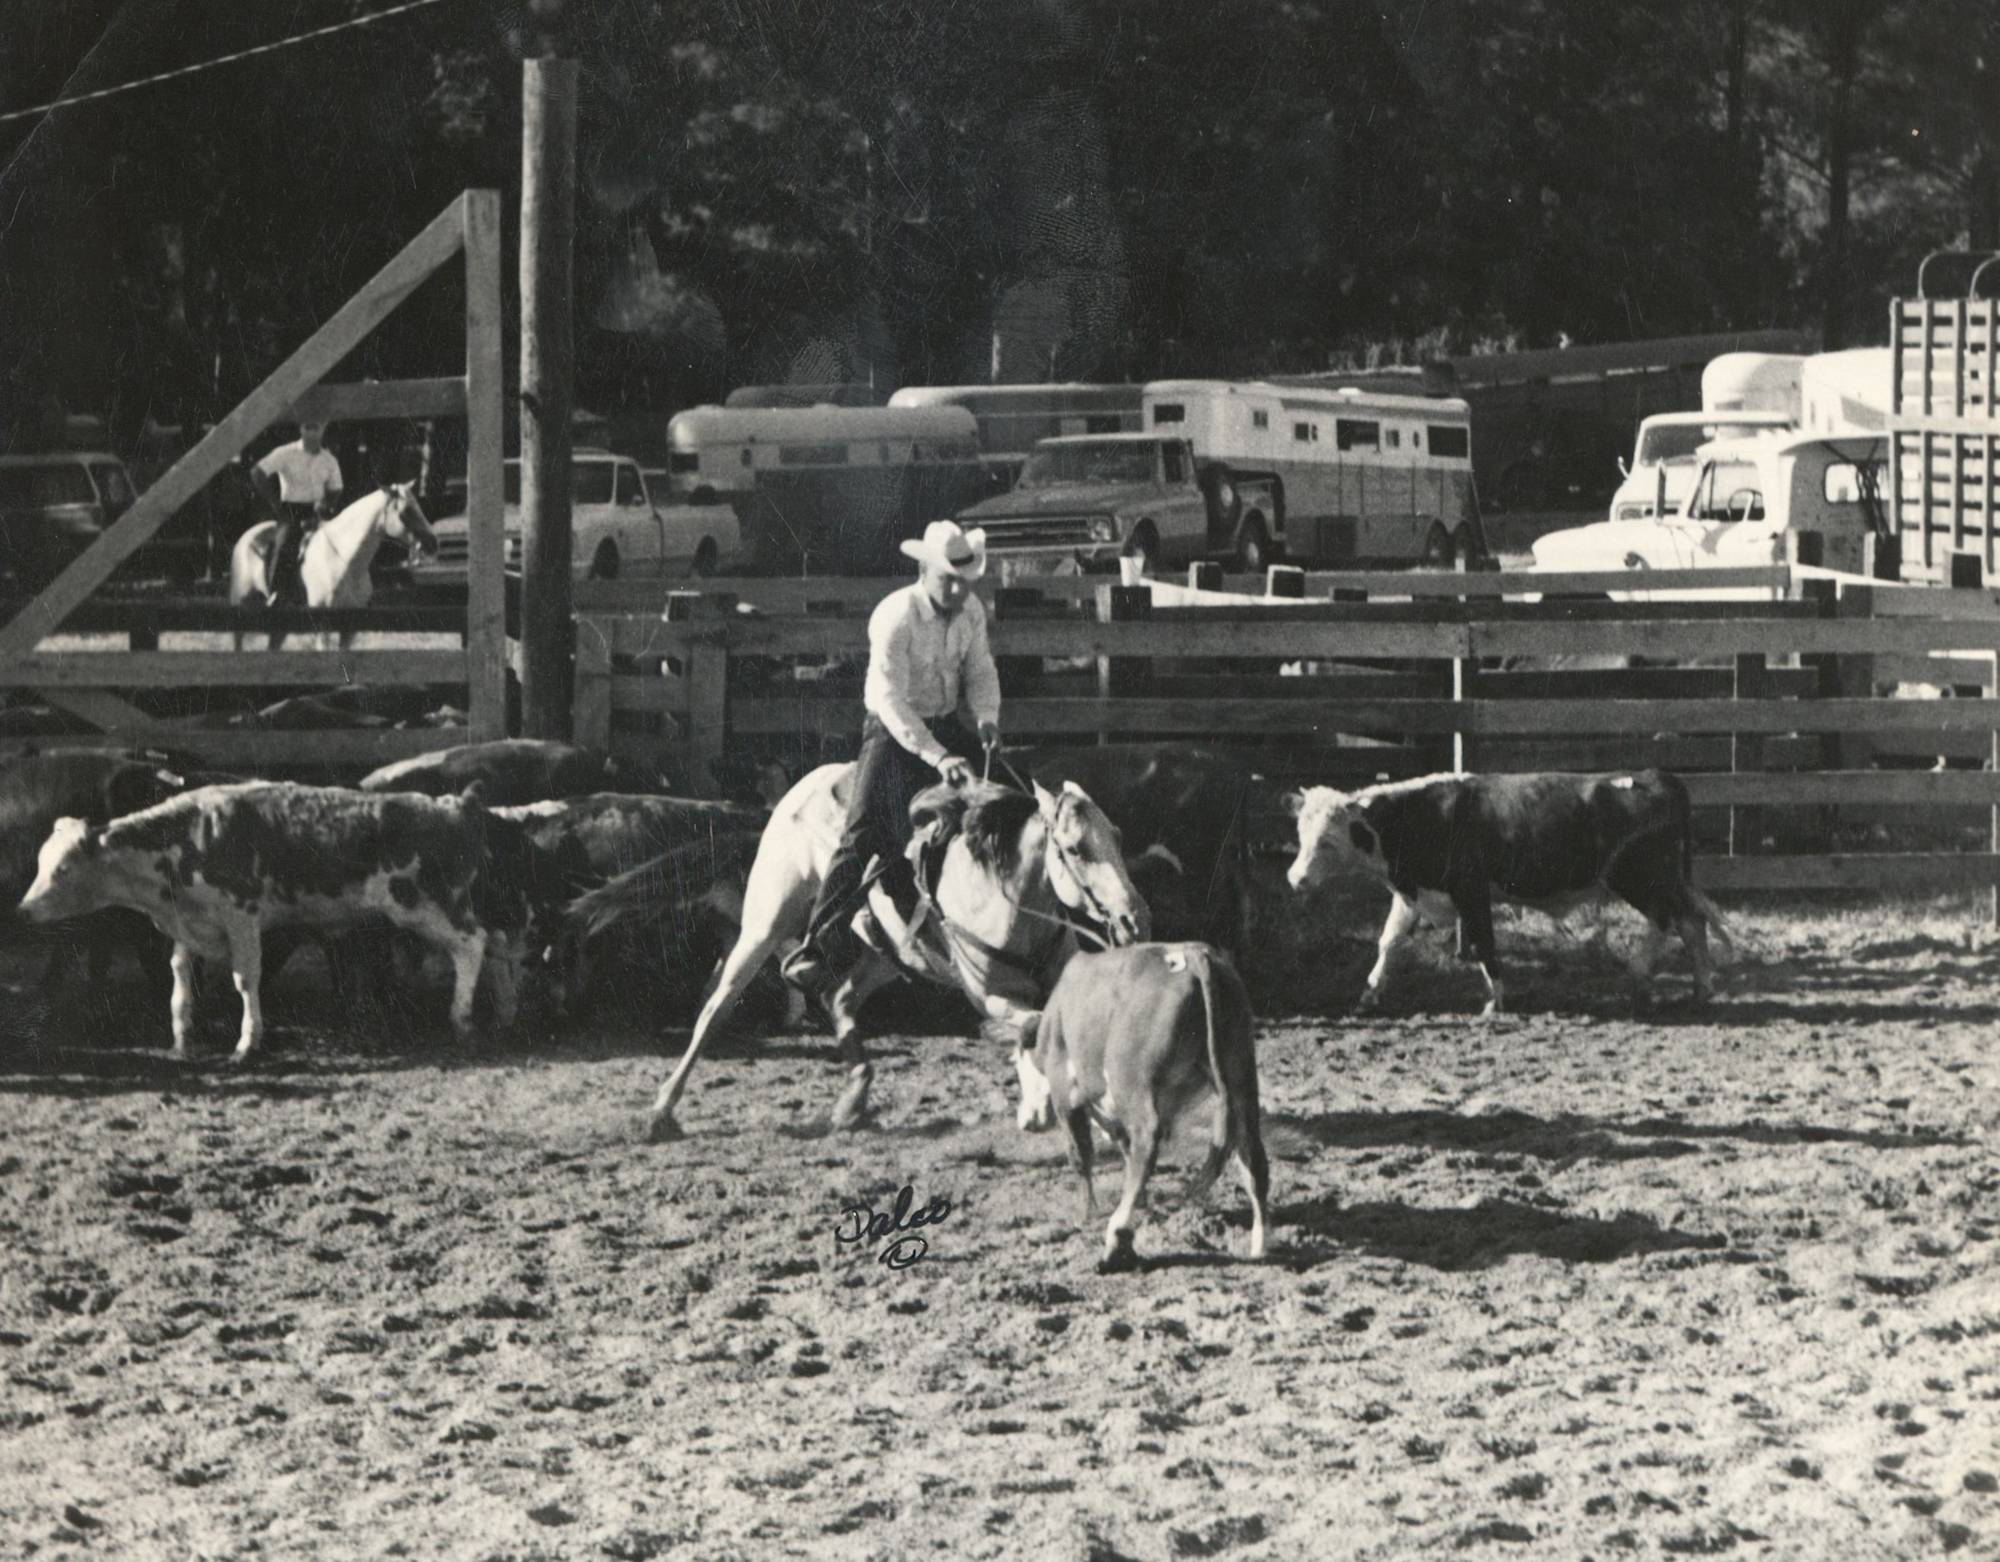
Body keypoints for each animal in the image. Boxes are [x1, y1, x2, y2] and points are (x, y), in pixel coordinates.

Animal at [17, 783, 540, 1059]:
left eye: (62, 869)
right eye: (40, 863)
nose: (23, 910)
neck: (186, 838)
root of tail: (455, 805)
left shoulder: (242, 915)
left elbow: (246, 979)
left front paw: (247, 1042)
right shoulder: (189, 922)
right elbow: (181, 978)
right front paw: (182, 1037)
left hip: (424, 905)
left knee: (472, 945)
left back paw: (463, 1018)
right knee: (496, 941)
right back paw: (506, 1011)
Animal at [228, 483, 437, 651]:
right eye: (406, 511)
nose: (433, 543)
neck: (345, 560)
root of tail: (248, 536)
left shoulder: (350, 627)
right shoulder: (324, 626)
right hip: (241, 603)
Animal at [571, 765, 1149, 1141]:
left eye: (1119, 836)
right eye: (1076, 848)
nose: (1134, 918)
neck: (1006, 894)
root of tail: (785, 801)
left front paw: (1056, 1106)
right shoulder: (988, 995)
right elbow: (1030, 1027)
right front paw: (1043, 1105)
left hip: (888, 955)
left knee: (841, 999)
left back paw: (854, 1100)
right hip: (765, 923)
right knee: (717, 1007)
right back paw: (661, 1112)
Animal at [1009, 942, 1269, 1274]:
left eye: (1017, 1064)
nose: (1024, 1120)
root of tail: (1195, 953)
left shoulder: (1066, 1093)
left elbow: (1080, 1155)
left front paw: (1087, 1213)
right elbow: (1124, 1149)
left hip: (1134, 1084)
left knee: (1146, 1143)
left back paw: (1116, 1238)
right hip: (1241, 1075)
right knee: (1252, 1155)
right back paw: (1259, 1246)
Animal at [1285, 769, 1735, 1017]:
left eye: (1328, 840)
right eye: (1302, 832)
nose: (1295, 878)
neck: (1423, 816)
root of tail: (1657, 776)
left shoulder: (1471, 891)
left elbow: (1485, 943)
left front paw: (1495, 1002)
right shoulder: (1415, 892)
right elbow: (1388, 942)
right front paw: (1369, 993)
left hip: (1640, 877)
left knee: (1666, 920)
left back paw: (1640, 978)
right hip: (1664, 878)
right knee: (1691, 921)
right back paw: (1702, 988)